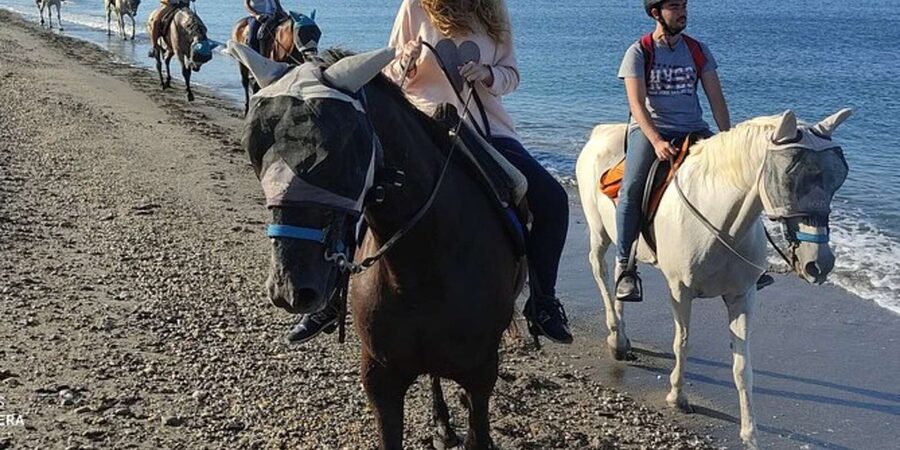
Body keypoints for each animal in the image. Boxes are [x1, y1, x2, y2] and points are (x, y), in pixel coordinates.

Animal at [226, 41, 526, 449]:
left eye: (339, 149)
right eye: (252, 147)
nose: (290, 289)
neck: (423, 265)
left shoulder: (481, 373)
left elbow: (477, 424)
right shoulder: (381, 378)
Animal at [575, 109, 852, 448]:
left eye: (837, 179)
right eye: (788, 178)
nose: (819, 264)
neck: (722, 225)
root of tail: (600, 133)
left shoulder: (742, 296)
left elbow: (742, 365)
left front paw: (749, 433)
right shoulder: (680, 291)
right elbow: (682, 343)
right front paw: (677, 397)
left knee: (620, 272)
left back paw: (623, 337)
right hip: (599, 230)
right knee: (600, 271)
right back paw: (615, 337)